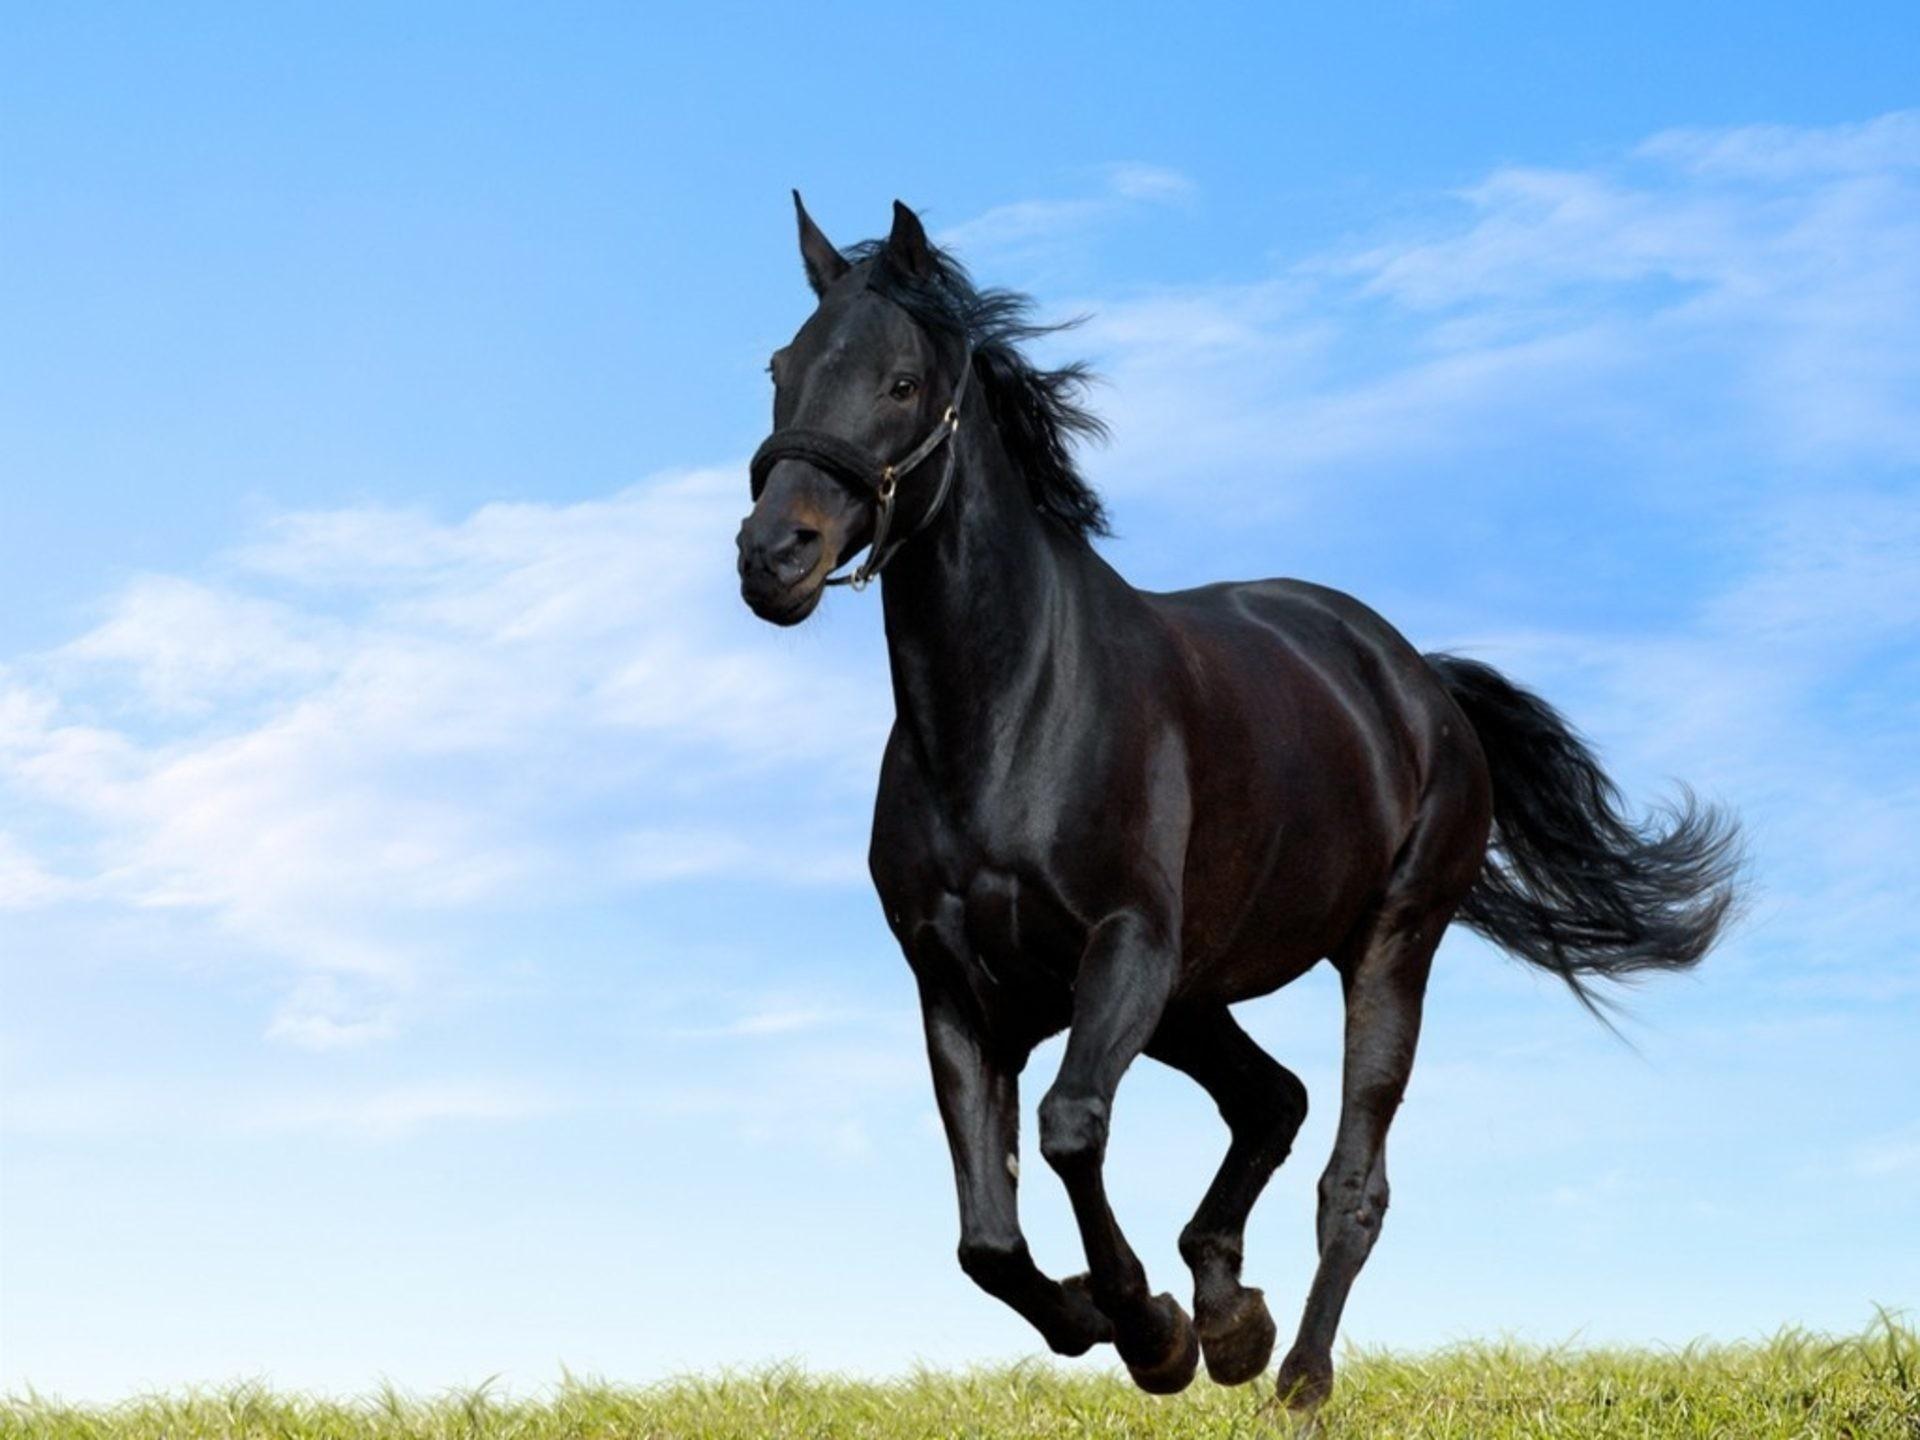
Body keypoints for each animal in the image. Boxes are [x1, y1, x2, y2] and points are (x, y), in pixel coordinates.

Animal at [734, 195, 1742, 1411]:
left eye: (899, 381)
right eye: (781, 368)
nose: (772, 556)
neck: (1008, 717)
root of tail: (1416, 679)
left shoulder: (1124, 948)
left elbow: (1069, 1130)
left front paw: (1149, 1330)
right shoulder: (957, 989)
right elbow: (987, 1238)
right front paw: (1127, 1318)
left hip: (1384, 948)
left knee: (1350, 1177)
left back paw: (1292, 1373)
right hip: (1195, 996)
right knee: (1273, 1101)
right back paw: (1232, 1315)